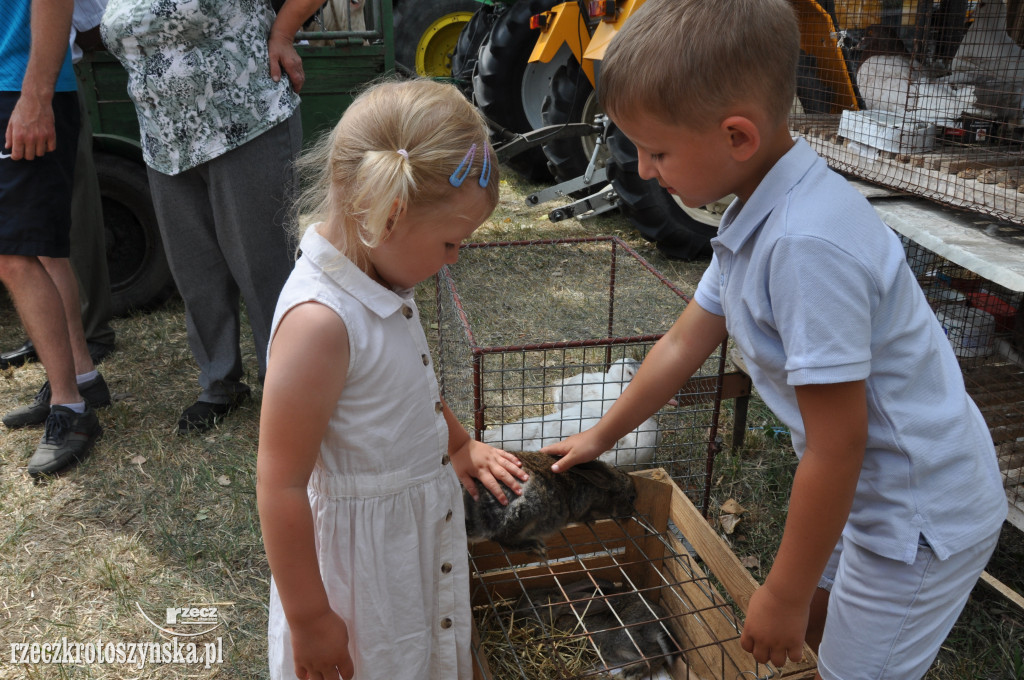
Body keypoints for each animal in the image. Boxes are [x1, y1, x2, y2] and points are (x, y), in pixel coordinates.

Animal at [466, 448, 638, 557]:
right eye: (631, 498)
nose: (629, 514)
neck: (600, 490)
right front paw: (591, 520)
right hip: (528, 507)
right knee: (502, 538)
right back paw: (536, 547)